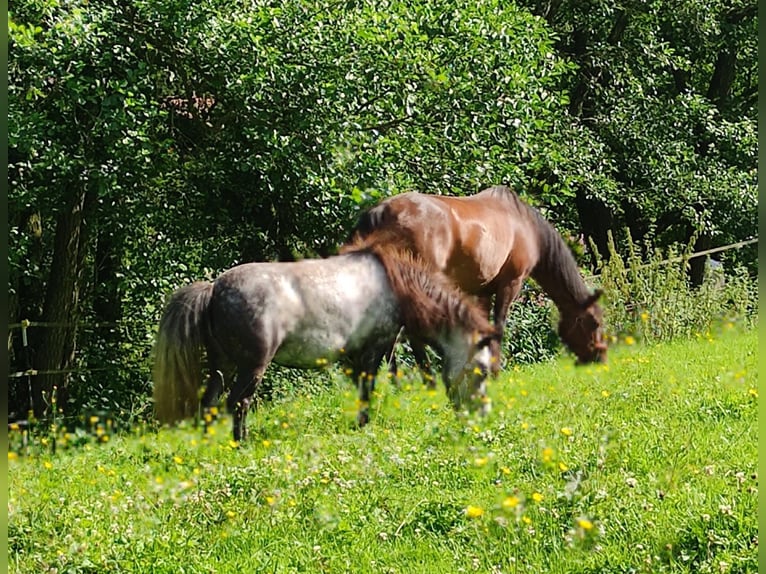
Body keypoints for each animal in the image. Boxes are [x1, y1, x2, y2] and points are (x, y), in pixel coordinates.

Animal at [344, 184, 608, 374]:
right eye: (593, 322)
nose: (600, 357)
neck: (524, 226)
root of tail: (378, 213)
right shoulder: (510, 284)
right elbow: (498, 326)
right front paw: (494, 369)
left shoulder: (482, 292)